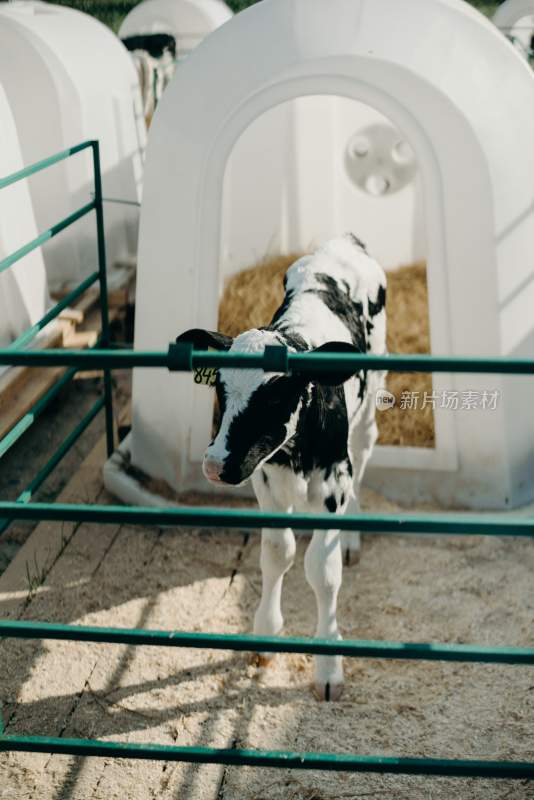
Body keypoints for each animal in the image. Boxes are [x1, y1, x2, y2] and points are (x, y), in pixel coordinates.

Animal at [178, 236, 388, 700]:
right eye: (220, 388)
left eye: (274, 398)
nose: (214, 465)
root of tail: (345, 241)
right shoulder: (267, 478)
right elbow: (278, 554)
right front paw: (265, 634)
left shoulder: (333, 481)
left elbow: (323, 572)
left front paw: (328, 667)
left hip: (369, 405)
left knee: (365, 448)